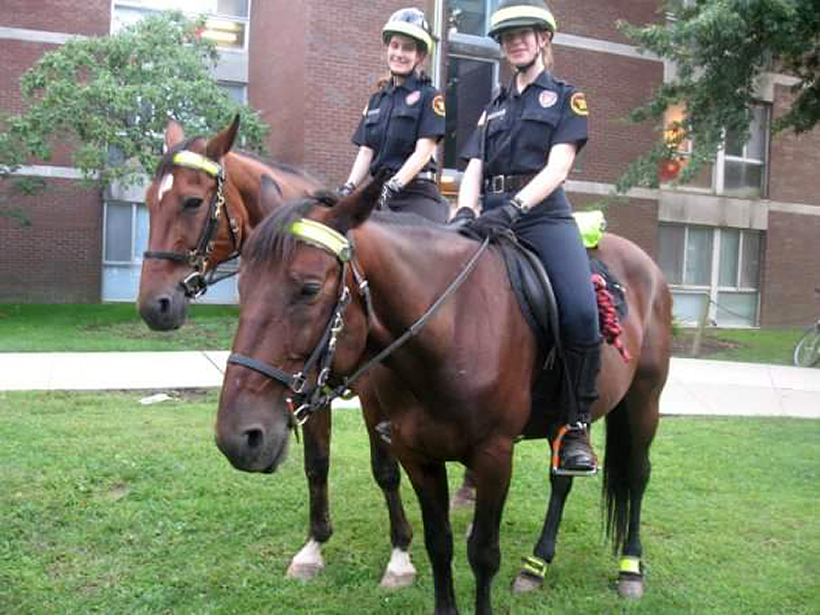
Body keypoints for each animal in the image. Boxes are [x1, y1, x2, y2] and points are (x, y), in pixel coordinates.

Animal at [138, 119, 420, 588]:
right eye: (146, 203)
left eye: (193, 201)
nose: (152, 306)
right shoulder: (308, 387)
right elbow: (317, 463)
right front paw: (314, 546)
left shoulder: (375, 394)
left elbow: (384, 468)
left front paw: (400, 555)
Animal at [216, 179, 672, 615]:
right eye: (243, 286)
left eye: (309, 288)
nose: (238, 437)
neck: (453, 328)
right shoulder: (417, 455)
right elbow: (439, 544)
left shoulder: (494, 457)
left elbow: (483, 554)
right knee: (562, 479)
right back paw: (536, 566)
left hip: (644, 400)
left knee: (638, 474)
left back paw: (630, 569)